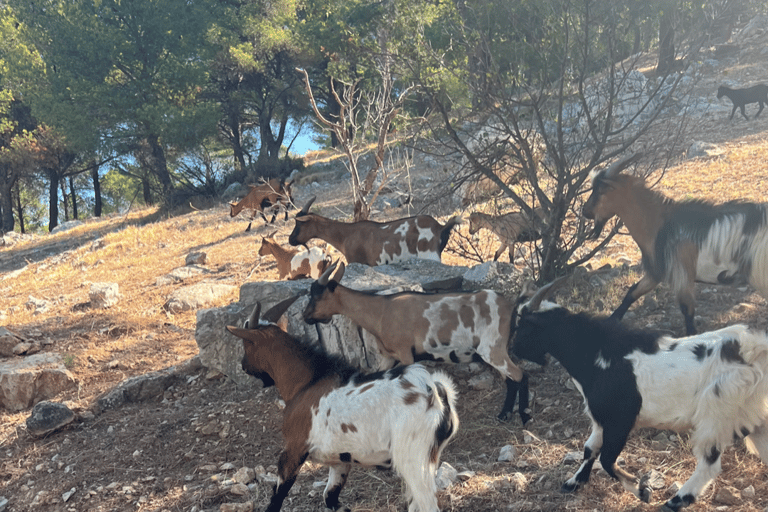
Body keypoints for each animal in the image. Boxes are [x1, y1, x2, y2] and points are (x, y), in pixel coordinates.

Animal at [225, 296, 460, 512]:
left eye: (246, 344)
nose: (243, 365)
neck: (307, 382)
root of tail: (436, 391)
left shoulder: (294, 450)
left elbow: (277, 497)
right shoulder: (340, 461)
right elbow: (331, 498)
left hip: (414, 459)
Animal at [286, 196, 456, 266]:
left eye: (299, 223)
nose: (290, 240)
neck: (346, 234)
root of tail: (440, 227)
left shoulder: (357, 261)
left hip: (429, 255)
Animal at [304, 260, 532, 424]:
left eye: (315, 295)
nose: (306, 317)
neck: (381, 311)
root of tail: (510, 307)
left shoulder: (406, 354)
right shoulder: (388, 357)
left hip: (492, 348)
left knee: (520, 375)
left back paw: (524, 416)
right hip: (495, 350)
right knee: (511, 380)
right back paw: (504, 416)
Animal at [512, 280, 768, 512]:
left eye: (523, 325)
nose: (513, 351)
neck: (601, 356)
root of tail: (754, 351)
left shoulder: (620, 420)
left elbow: (607, 459)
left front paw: (641, 490)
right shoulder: (601, 419)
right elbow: (589, 448)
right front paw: (574, 482)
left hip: (716, 414)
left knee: (708, 464)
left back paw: (675, 501)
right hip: (753, 416)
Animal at [584, 160, 768, 336]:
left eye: (600, 191)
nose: (585, 211)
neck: (660, 225)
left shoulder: (682, 273)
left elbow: (687, 311)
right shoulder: (657, 272)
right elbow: (632, 292)